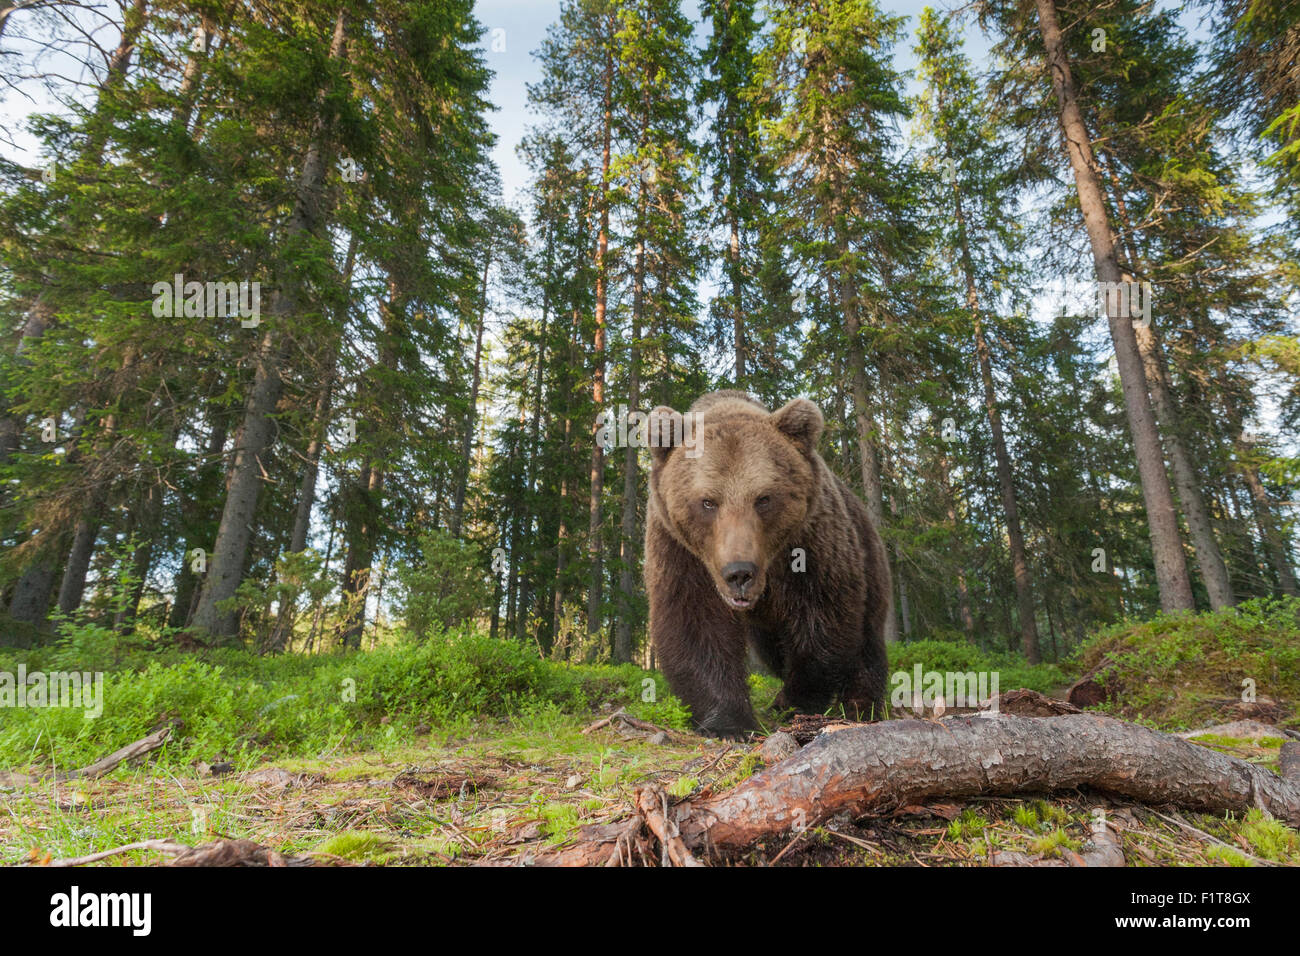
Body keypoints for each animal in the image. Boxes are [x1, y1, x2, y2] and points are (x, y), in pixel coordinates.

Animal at [642, 390, 889, 738]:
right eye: (708, 502)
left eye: (764, 498)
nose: (739, 572)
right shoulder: (680, 551)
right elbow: (695, 624)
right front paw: (729, 722)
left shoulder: (810, 543)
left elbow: (822, 620)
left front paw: (792, 703)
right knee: (773, 650)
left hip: (867, 555)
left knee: (867, 640)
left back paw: (861, 705)